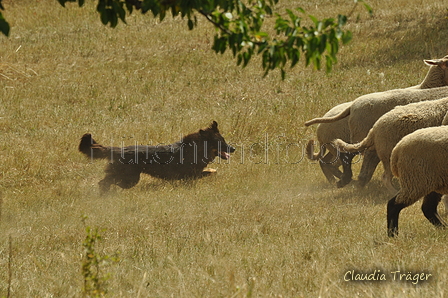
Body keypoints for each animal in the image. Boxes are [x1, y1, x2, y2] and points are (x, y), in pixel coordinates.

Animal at [79, 121, 236, 193]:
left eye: (224, 140)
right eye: (221, 142)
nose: (233, 149)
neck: (197, 148)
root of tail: (119, 149)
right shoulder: (191, 174)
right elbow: (210, 172)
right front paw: (212, 171)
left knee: (105, 181)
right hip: (130, 179)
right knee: (106, 182)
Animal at [304, 55, 448, 186]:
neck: (425, 86)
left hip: (338, 146)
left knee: (327, 161)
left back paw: (338, 181)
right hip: (356, 141)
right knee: (341, 160)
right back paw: (345, 181)